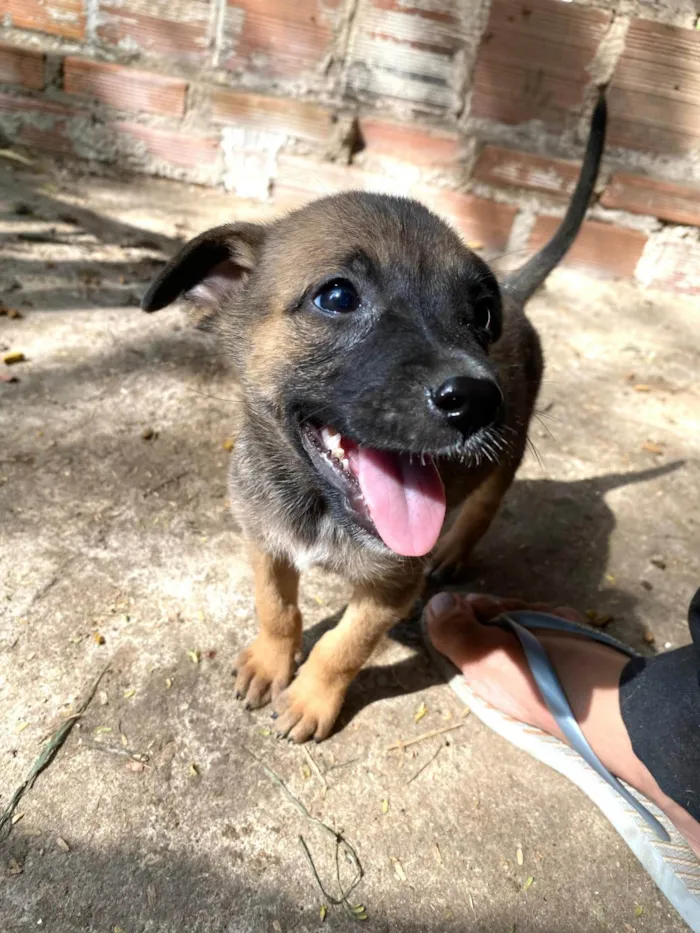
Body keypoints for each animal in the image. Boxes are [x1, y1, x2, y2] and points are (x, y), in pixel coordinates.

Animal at [144, 89, 608, 744]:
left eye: (479, 315)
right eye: (337, 297)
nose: (479, 398)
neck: (317, 506)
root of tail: (519, 294)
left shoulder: (393, 586)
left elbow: (344, 645)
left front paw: (311, 699)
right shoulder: (264, 541)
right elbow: (276, 607)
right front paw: (270, 663)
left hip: (506, 456)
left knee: (484, 507)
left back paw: (453, 551)